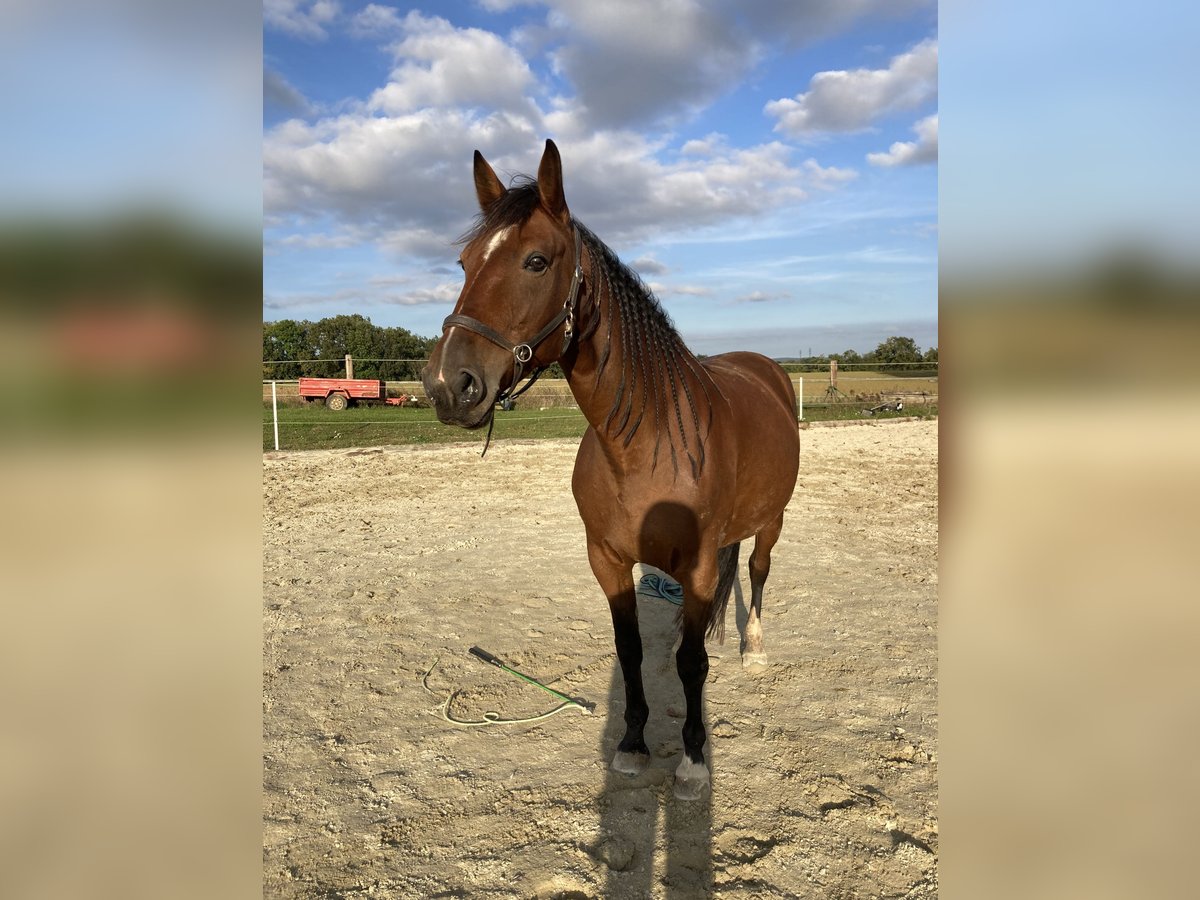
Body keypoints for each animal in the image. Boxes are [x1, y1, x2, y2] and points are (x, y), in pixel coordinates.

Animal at [422, 141, 796, 801]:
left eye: (537, 261)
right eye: (464, 263)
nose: (449, 384)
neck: (645, 442)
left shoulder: (700, 562)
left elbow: (692, 664)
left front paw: (693, 760)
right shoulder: (608, 560)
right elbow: (630, 651)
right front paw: (632, 743)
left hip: (772, 521)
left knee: (756, 572)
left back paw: (753, 648)